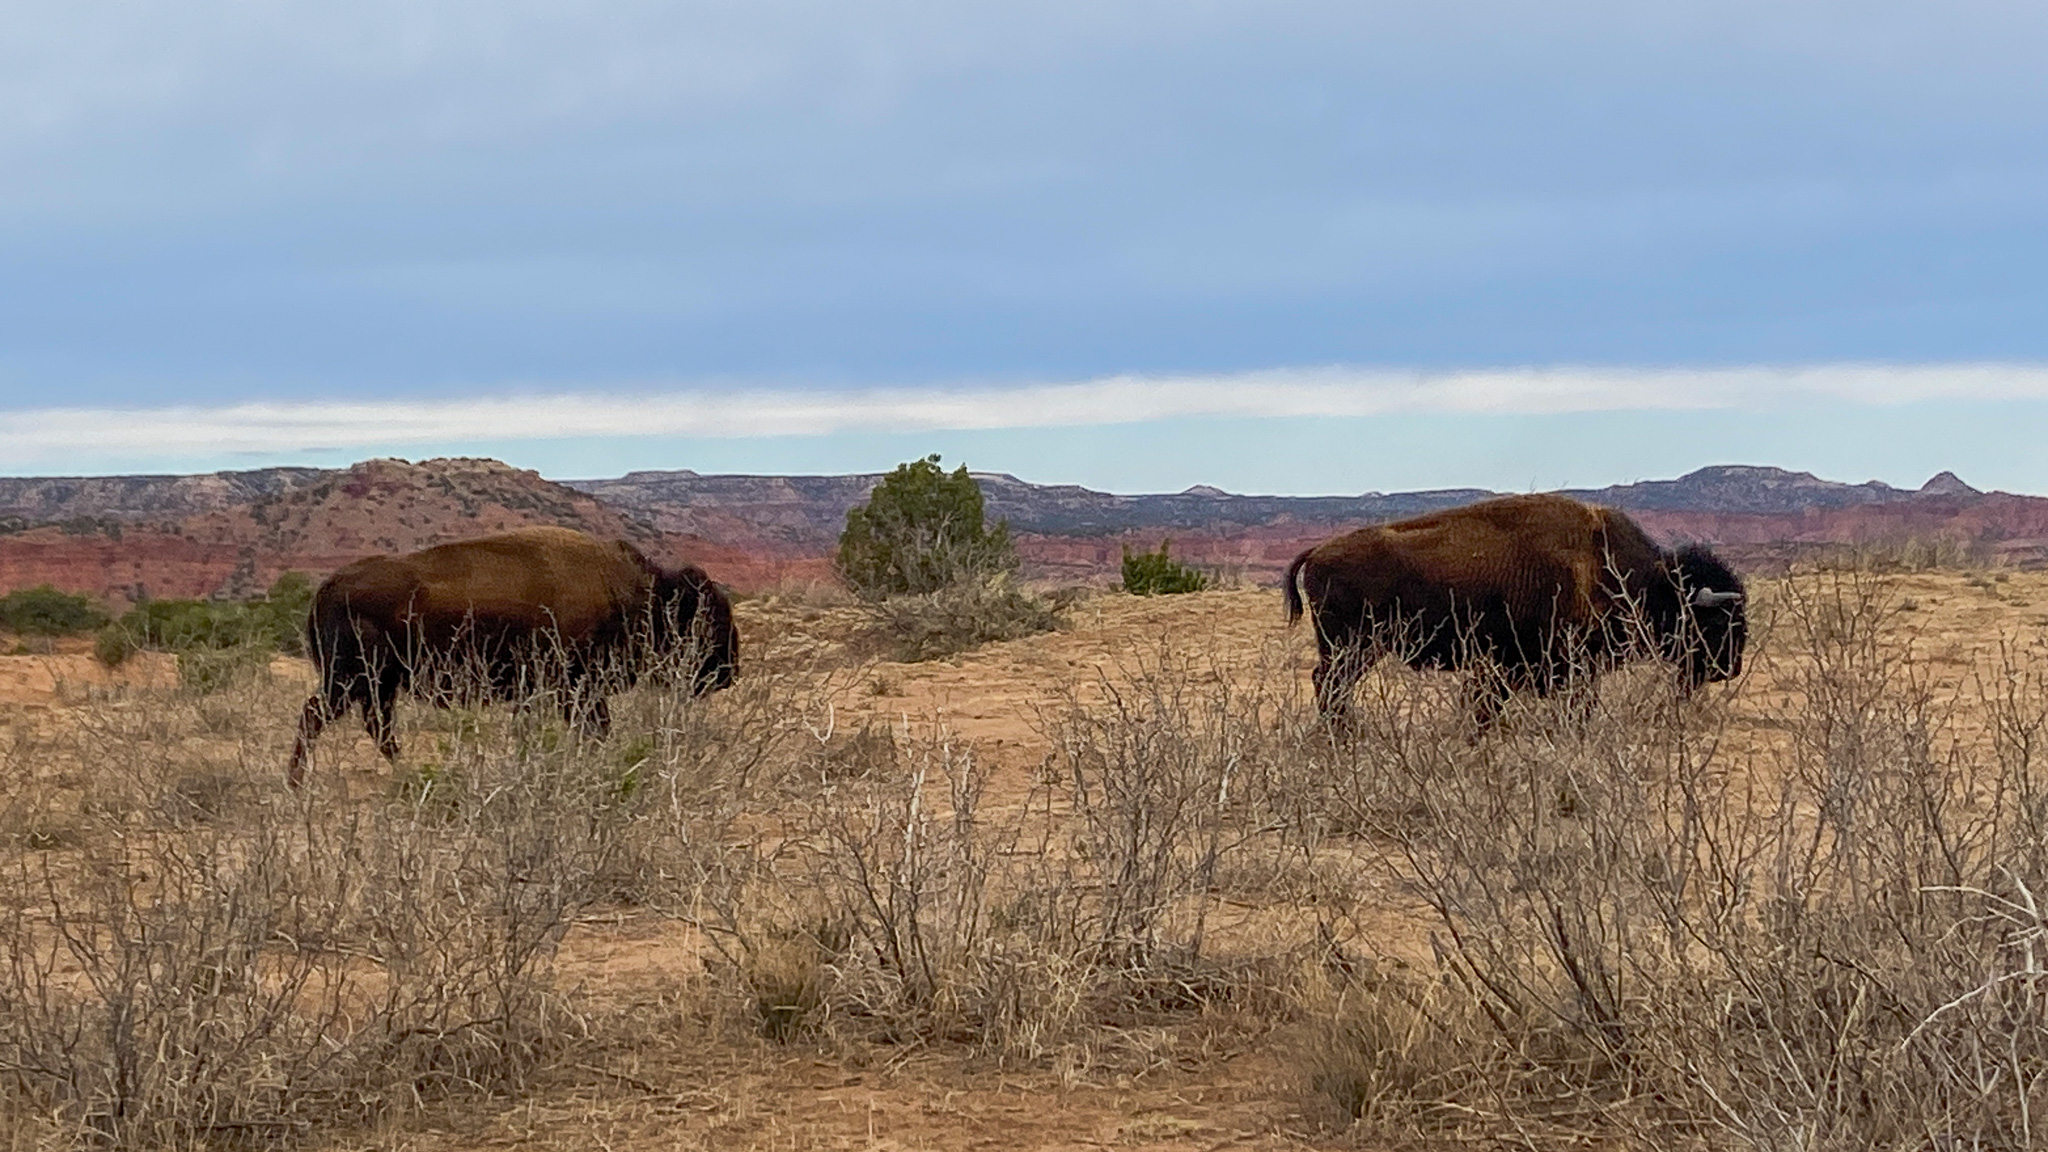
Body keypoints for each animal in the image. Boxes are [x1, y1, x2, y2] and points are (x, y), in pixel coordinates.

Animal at [286, 526, 737, 786]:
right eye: (708, 617)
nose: (731, 671)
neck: (632, 591)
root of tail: (328, 585)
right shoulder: (574, 688)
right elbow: (594, 728)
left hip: (378, 684)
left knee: (374, 726)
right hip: (354, 680)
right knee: (318, 716)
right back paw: (298, 782)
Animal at [1284, 493, 1745, 727]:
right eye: (1719, 621)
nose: (1731, 667)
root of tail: (1318, 552)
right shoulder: (1535, 665)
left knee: (1329, 683)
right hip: (1352, 647)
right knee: (1330, 683)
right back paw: (1342, 734)